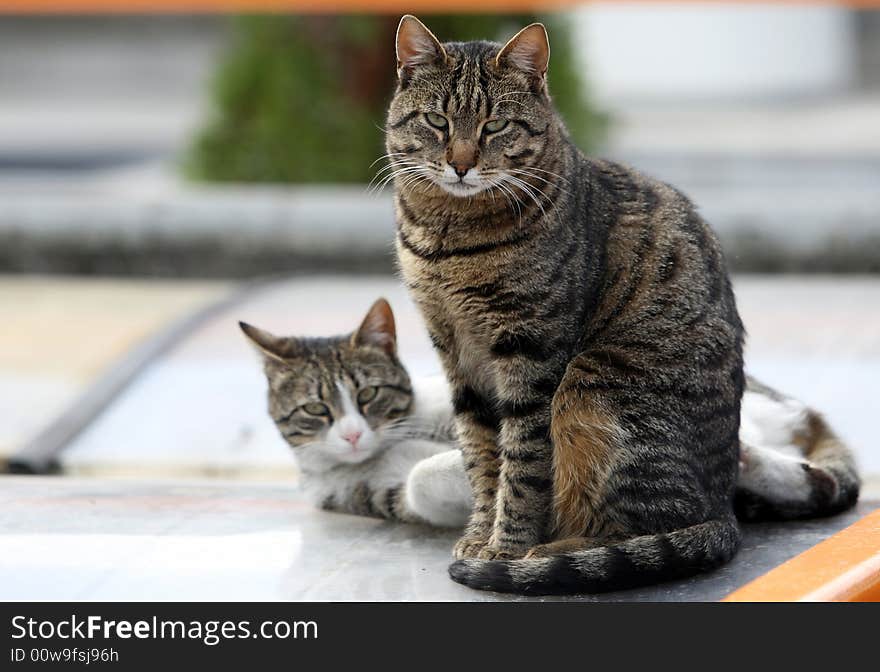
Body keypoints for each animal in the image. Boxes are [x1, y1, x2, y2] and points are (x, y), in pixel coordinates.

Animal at [384, 15, 860, 592]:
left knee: (637, 527)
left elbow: (520, 466)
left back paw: (544, 556)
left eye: (495, 127)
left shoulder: (531, 355)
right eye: (436, 121)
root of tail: (722, 506)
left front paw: (503, 548)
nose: (460, 164)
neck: (448, 236)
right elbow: (481, 456)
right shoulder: (455, 353)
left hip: (591, 388)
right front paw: (479, 534)